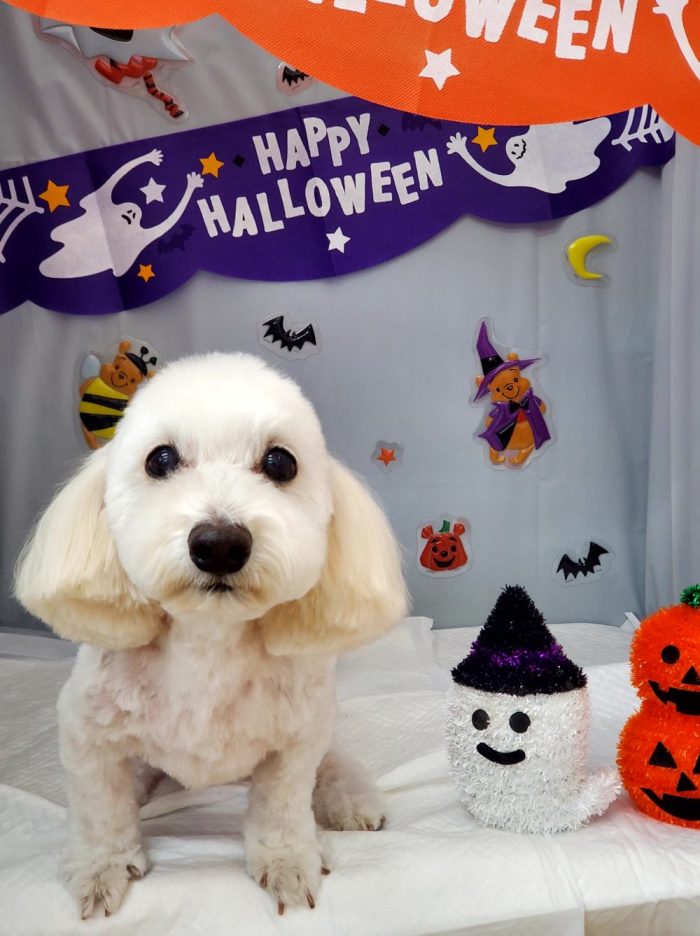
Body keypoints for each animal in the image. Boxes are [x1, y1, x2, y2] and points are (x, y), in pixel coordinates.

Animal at [14, 352, 407, 919]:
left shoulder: (292, 746)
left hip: (318, 723)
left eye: (280, 464)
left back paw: (351, 798)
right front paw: (101, 867)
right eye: (160, 460)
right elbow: (100, 809)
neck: (207, 644)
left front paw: (287, 863)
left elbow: (282, 809)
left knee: (330, 758)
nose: (220, 544)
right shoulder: (87, 735)